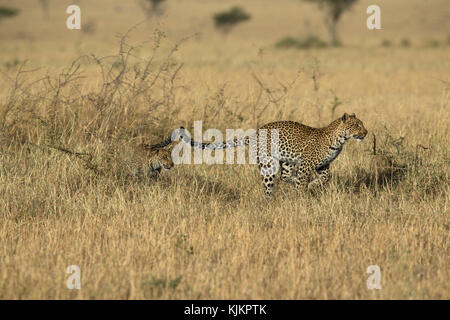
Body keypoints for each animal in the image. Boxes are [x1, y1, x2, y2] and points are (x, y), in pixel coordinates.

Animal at [149, 112, 368, 198]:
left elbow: (325, 177)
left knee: (285, 176)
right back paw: (271, 202)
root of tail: (256, 132)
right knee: (270, 186)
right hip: (268, 163)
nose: (366, 133)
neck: (339, 140)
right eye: (356, 125)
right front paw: (302, 195)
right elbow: (304, 180)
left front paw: (312, 186)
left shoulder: (323, 165)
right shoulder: (307, 164)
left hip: (285, 160)